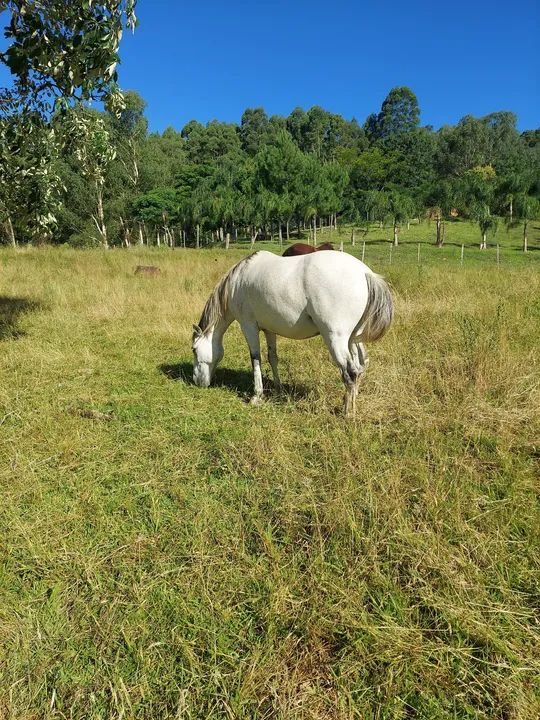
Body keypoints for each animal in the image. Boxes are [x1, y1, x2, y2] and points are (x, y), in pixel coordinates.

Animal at [192, 251, 393, 415]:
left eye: (194, 350)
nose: (196, 381)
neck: (237, 281)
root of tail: (365, 273)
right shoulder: (269, 329)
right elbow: (272, 357)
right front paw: (279, 389)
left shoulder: (248, 326)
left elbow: (255, 358)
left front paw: (256, 396)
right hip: (353, 338)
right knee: (361, 366)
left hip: (336, 339)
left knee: (350, 372)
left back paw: (347, 412)